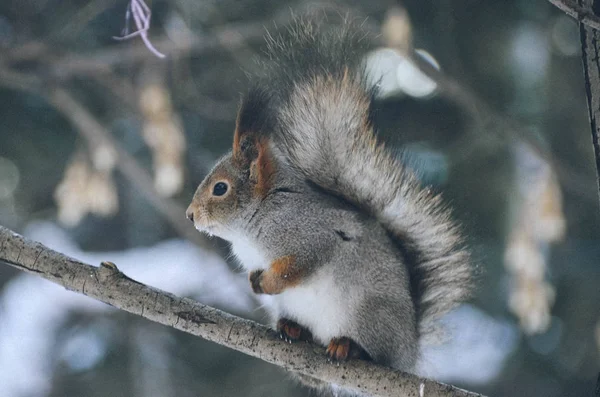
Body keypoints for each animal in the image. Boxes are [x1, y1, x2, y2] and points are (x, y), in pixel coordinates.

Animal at [185, 15, 472, 374]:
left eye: (220, 188)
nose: (190, 215)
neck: (258, 216)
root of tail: (409, 348)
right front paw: (253, 280)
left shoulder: (310, 236)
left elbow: (297, 267)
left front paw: (268, 283)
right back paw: (293, 327)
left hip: (368, 313)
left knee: (374, 350)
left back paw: (349, 347)